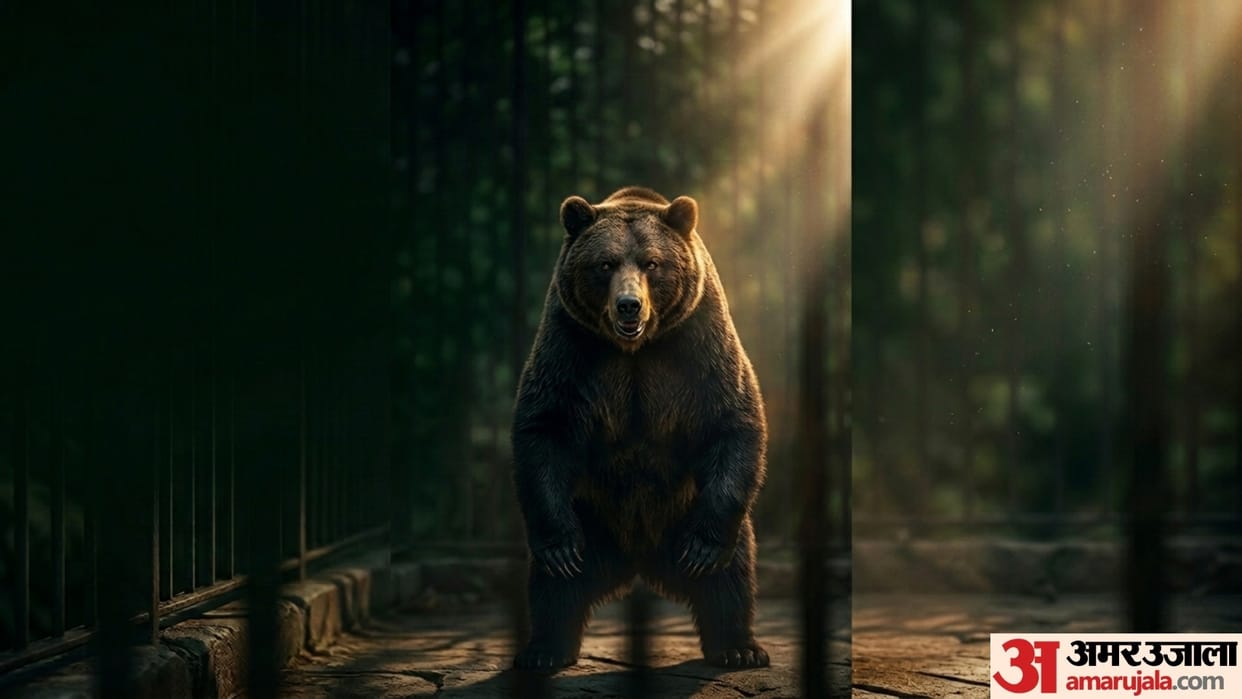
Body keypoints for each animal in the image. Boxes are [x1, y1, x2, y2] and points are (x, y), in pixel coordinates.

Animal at [511, 186, 769, 671]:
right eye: (605, 264)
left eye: (652, 263)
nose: (629, 305)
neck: (634, 348)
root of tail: (636, 561)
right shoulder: (570, 343)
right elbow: (544, 425)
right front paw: (560, 550)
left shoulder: (698, 339)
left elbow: (733, 418)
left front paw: (702, 551)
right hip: (590, 515)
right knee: (553, 587)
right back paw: (544, 649)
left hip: (687, 512)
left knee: (731, 576)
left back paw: (738, 647)